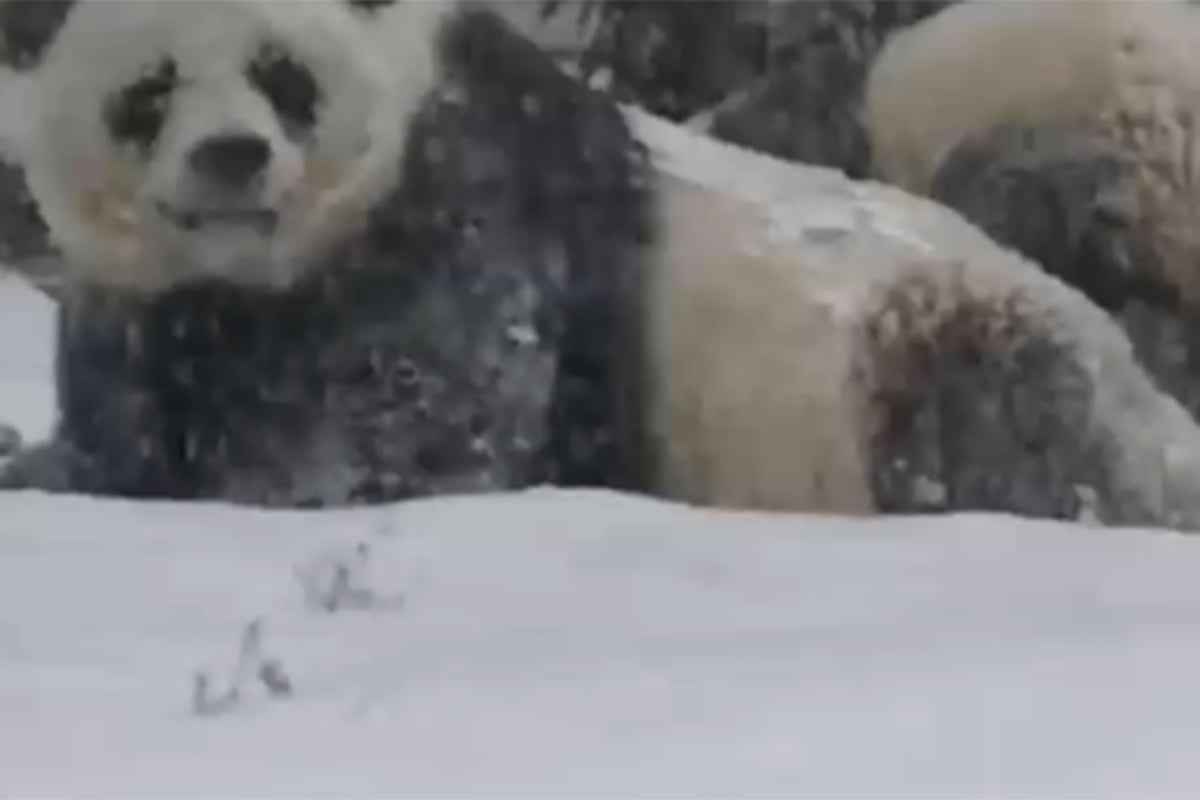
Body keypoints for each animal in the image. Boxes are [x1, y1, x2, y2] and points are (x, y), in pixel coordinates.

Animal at [3, 0, 1200, 529]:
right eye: (150, 88)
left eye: (280, 73)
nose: (232, 158)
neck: (254, 277)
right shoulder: (140, 302)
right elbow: (126, 410)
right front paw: (56, 465)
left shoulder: (459, 209)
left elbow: (408, 437)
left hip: (930, 334)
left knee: (993, 415)